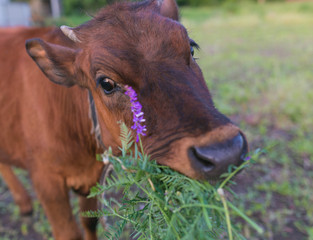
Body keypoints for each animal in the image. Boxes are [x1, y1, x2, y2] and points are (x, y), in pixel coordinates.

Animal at [0, 0, 246, 240]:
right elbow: (69, 233)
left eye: (192, 48)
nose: (225, 152)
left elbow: (90, 221)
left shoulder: (93, 181)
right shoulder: (47, 183)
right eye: (106, 83)